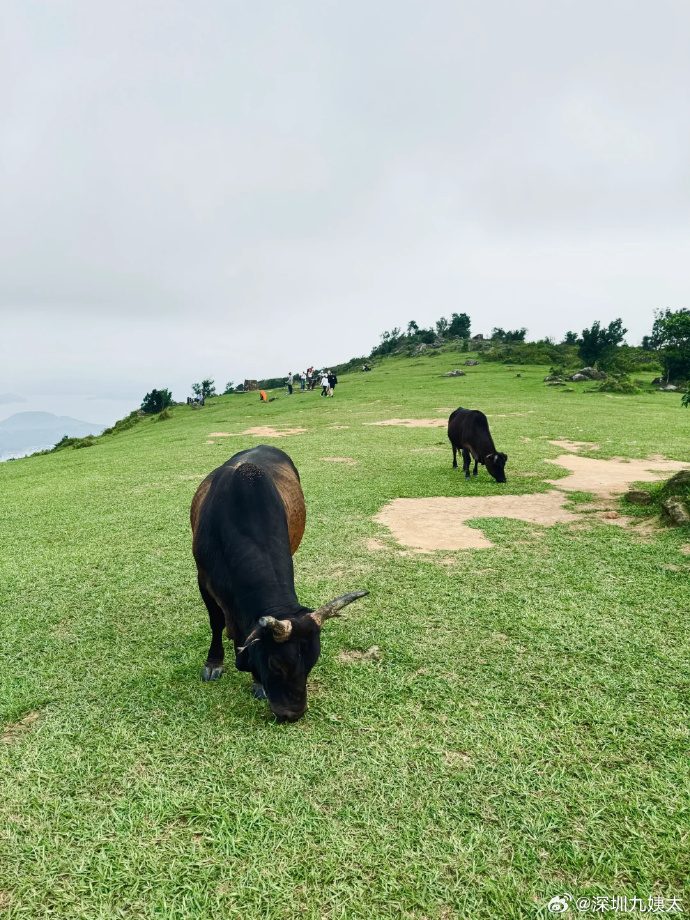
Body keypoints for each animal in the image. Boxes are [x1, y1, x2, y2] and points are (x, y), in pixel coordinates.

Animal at [189, 442, 366, 724]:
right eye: (275, 665)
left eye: (312, 663)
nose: (293, 714)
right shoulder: (203, 581)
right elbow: (217, 623)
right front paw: (214, 663)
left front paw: (257, 683)